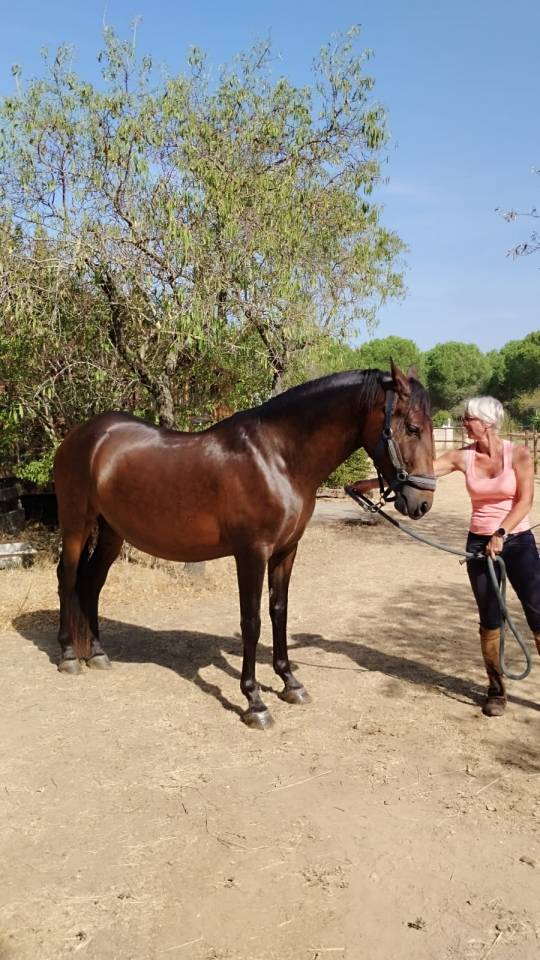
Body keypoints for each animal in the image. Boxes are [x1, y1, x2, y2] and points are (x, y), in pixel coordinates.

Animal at [53, 362, 434, 728]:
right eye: (412, 428)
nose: (422, 502)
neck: (277, 457)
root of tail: (84, 434)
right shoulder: (252, 553)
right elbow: (251, 621)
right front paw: (254, 702)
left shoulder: (286, 550)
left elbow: (279, 612)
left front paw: (290, 683)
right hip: (75, 526)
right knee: (67, 579)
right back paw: (69, 656)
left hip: (111, 532)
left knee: (92, 584)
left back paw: (98, 654)